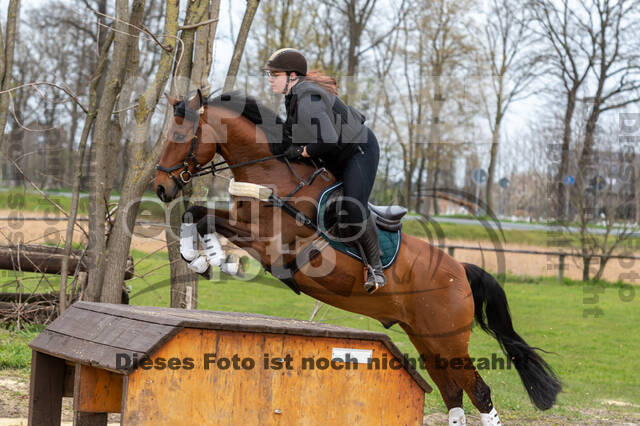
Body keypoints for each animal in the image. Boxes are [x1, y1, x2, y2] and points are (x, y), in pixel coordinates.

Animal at [155, 89, 560, 422]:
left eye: (179, 137)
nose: (159, 188)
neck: (272, 175)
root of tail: (459, 269)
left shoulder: (272, 244)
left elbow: (204, 217)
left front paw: (215, 259)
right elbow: (198, 213)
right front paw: (203, 258)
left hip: (449, 340)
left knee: (479, 393)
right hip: (427, 340)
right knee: (452, 395)